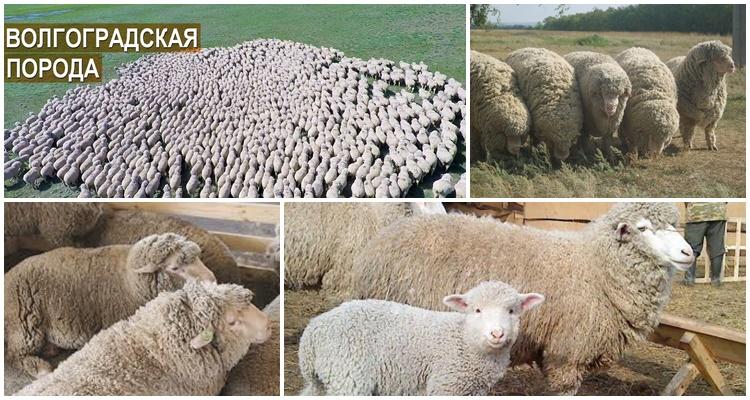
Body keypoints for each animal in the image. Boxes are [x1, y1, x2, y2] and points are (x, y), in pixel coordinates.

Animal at [4, 233, 216, 378]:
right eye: (174, 268)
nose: (212, 280)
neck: (130, 280)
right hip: (24, 324)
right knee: (12, 354)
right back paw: (41, 369)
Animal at [298, 281, 544, 395]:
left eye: (512, 311)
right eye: (477, 310)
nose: (497, 333)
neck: (465, 342)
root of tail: (313, 332)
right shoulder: (446, 384)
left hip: (325, 379)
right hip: (347, 375)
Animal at [351, 202, 695, 394]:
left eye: (673, 225)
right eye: (643, 228)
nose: (688, 252)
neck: (596, 267)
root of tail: (384, 239)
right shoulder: (567, 354)